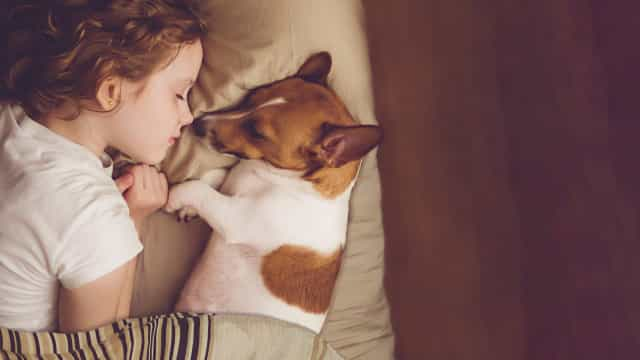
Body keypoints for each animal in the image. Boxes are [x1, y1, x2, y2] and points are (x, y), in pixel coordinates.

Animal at [164, 52, 380, 334]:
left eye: (257, 132)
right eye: (251, 97)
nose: (197, 124)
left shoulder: (236, 219)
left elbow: (200, 190)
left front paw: (174, 196)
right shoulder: (232, 185)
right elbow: (215, 178)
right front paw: (188, 207)